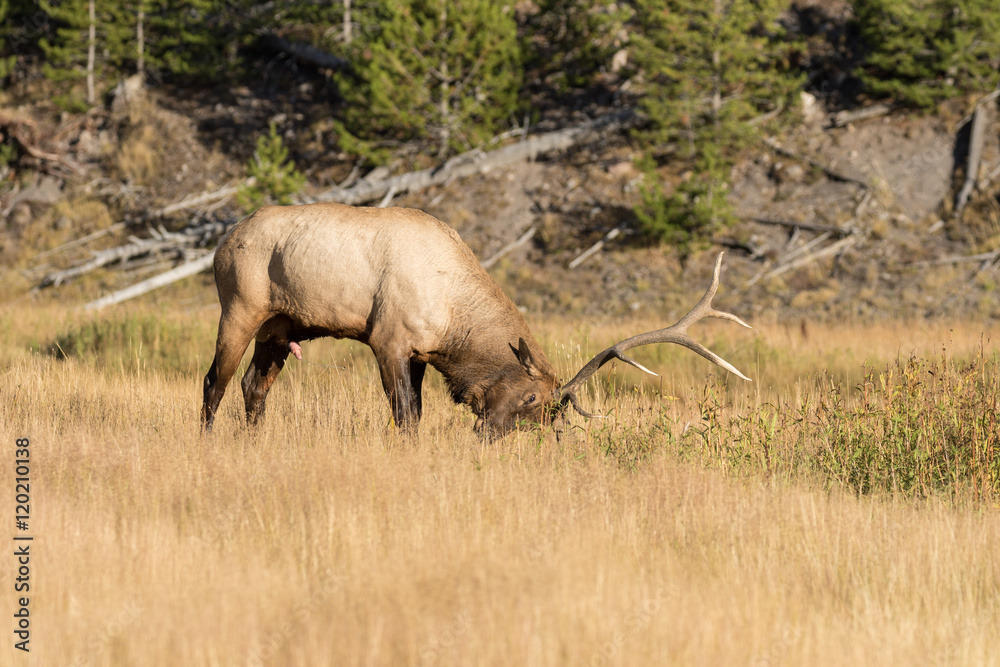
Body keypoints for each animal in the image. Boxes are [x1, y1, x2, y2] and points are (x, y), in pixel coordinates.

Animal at [201, 202, 751, 436]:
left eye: (541, 417)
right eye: (530, 399)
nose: (488, 434)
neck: (452, 321)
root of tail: (221, 242)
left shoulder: (419, 353)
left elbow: (416, 412)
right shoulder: (388, 338)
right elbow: (405, 414)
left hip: (282, 326)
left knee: (254, 385)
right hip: (241, 305)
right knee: (214, 382)